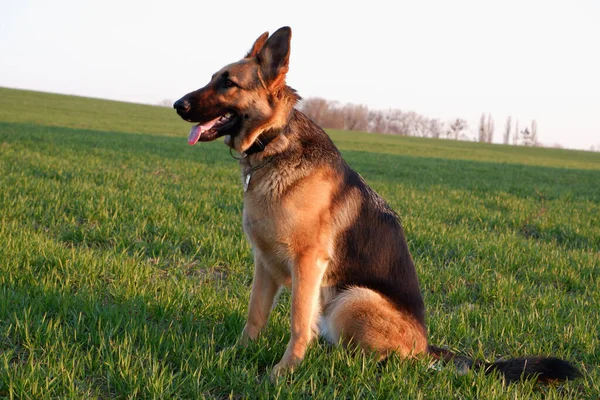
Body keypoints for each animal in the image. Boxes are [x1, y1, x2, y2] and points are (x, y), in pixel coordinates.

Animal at [175, 26, 580, 382]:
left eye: (228, 83)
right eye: (213, 78)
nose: (178, 104)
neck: (274, 142)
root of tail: (426, 346)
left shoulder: (307, 262)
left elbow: (297, 322)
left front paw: (283, 372)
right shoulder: (265, 264)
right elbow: (255, 315)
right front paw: (237, 353)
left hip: (351, 299)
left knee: (379, 360)